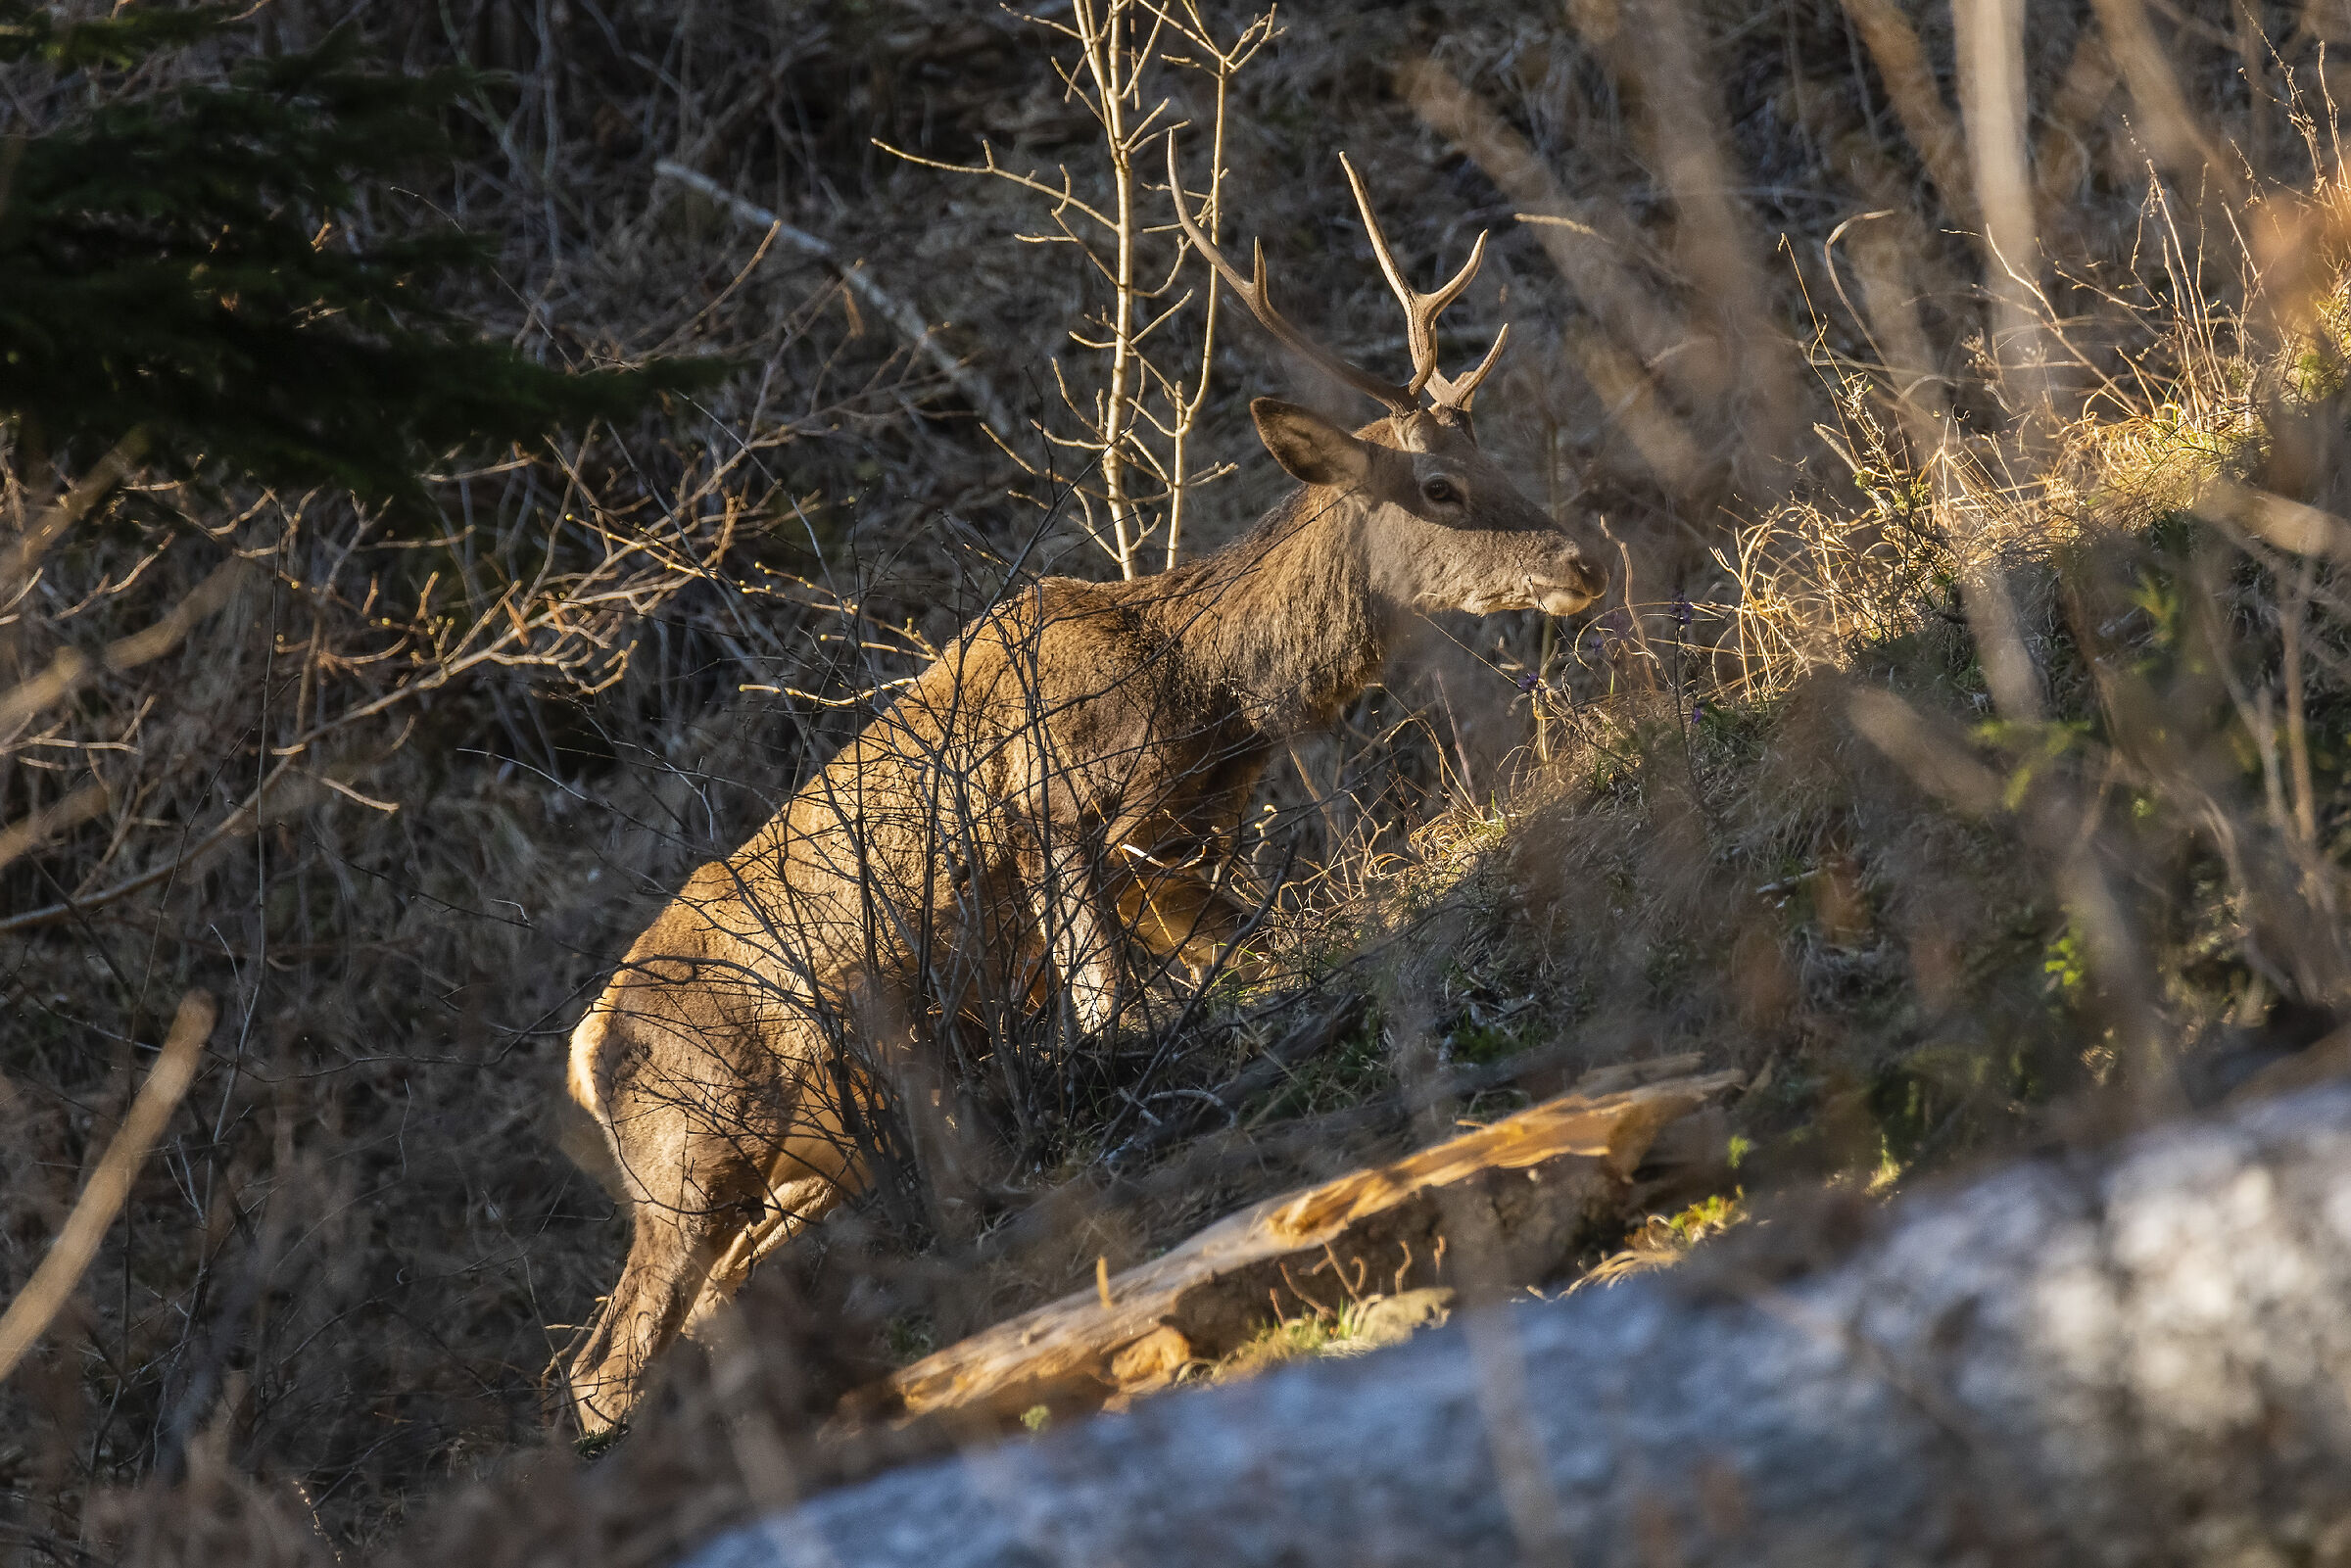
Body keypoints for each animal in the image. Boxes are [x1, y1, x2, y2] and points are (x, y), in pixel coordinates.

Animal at [556, 143, 1610, 1435]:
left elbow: (1252, 947)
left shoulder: (1174, 859)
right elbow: (1117, 1017)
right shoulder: (1052, 815)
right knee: (602, 1363)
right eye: (1439, 485)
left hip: (791, 1171)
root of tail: (588, 1042)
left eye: (1492, 455)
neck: (1212, 691)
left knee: (692, 1322)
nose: (1582, 562)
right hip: (695, 1145)